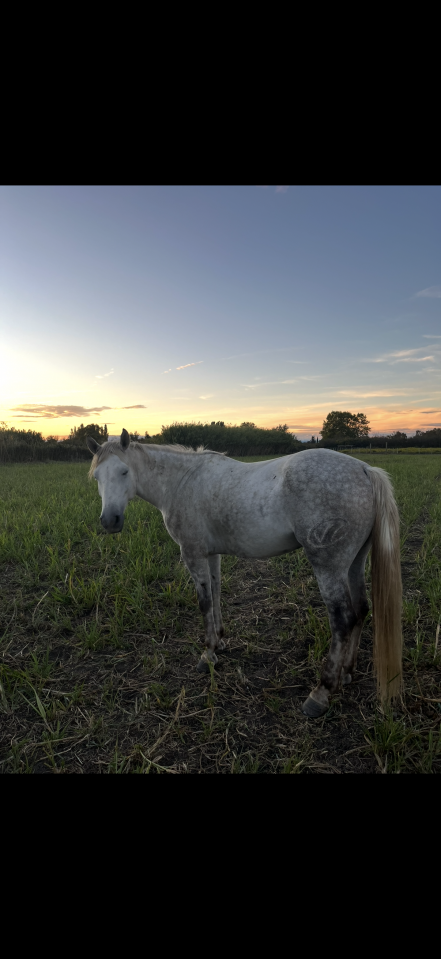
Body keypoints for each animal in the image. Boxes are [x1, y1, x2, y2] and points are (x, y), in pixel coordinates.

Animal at [86, 429, 402, 718]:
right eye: (97, 477)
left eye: (124, 471)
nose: (110, 521)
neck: (181, 481)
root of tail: (365, 470)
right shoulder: (211, 554)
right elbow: (215, 594)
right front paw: (220, 642)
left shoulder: (192, 553)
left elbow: (204, 602)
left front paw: (207, 654)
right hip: (354, 563)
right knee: (361, 610)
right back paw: (346, 673)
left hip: (329, 567)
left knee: (342, 620)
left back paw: (321, 693)